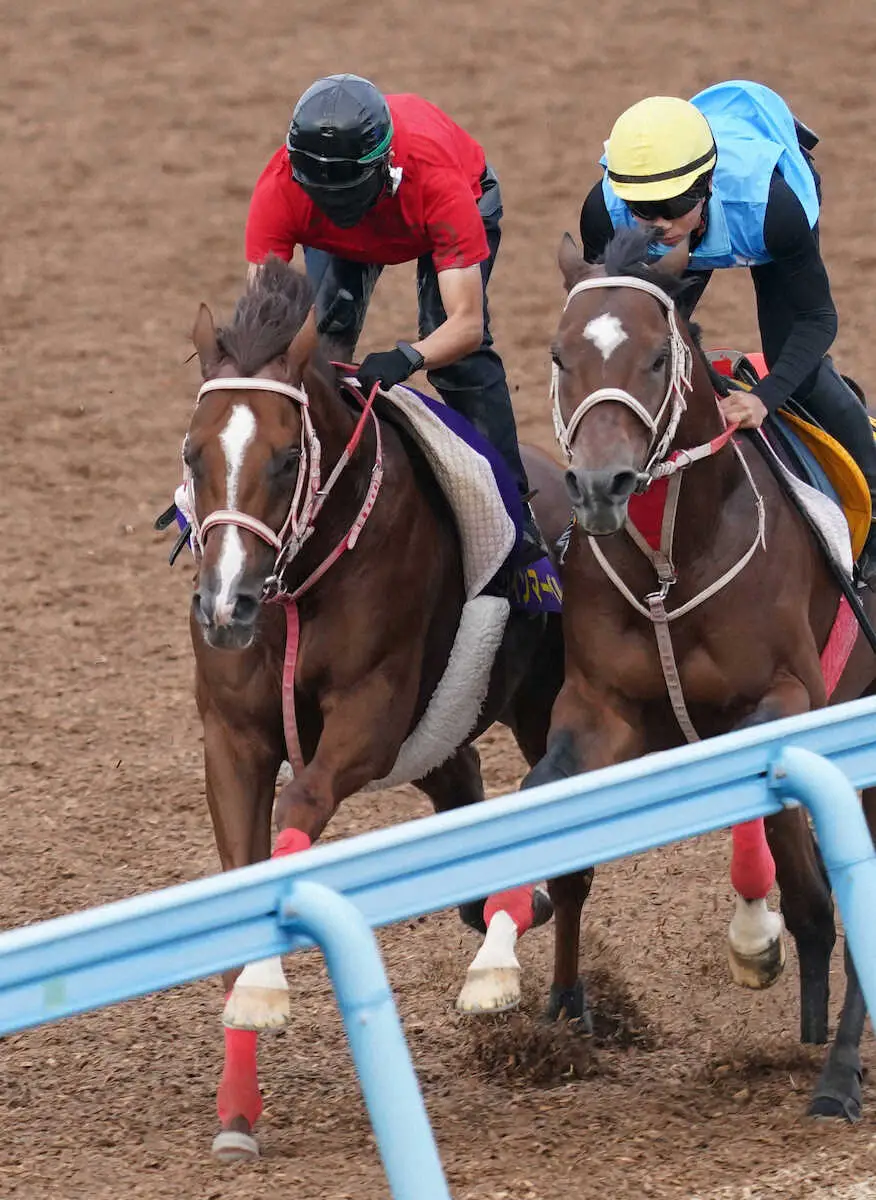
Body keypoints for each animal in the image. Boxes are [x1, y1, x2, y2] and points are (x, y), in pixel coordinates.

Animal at [178, 255, 566, 1161]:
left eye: (287, 459)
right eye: (192, 450)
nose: (224, 605)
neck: (297, 587)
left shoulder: (371, 717)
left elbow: (302, 802)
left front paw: (263, 990)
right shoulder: (234, 739)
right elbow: (242, 872)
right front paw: (236, 1113)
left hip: (545, 711)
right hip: (445, 742)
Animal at [525, 226, 873, 1123]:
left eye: (656, 358)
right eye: (559, 354)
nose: (600, 485)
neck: (670, 558)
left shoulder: (789, 697)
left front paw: (755, 942)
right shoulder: (600, 710)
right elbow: (543, 801)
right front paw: (522, 979)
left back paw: (838, 1073)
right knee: (819, 893)